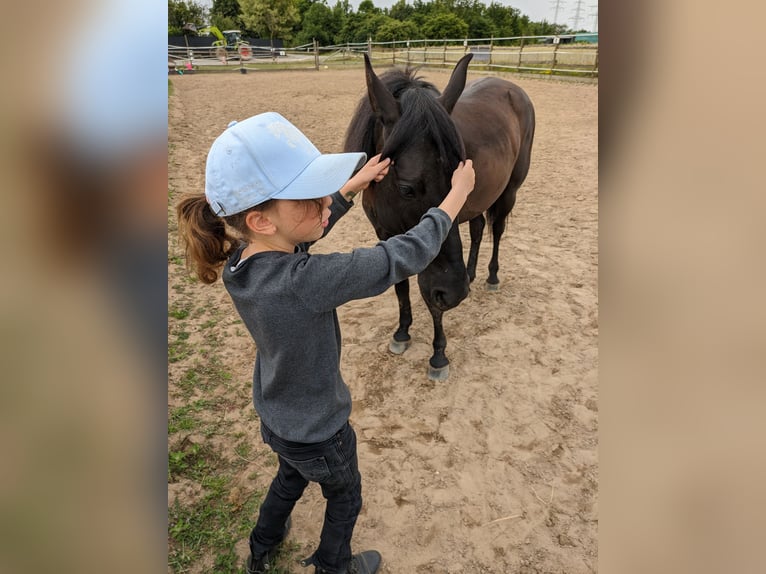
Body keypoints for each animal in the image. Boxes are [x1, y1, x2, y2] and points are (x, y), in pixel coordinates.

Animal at [344, 51, 536, 380]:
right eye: (407, 188)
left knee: (496, 230)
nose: (455, 291)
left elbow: (432, 300)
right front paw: (402, 332)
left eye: (461, 180)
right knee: (478, 228)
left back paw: (491, 276)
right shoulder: (386, 234)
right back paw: (471, 274)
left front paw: (438, 355)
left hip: (509, 191)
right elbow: (401, 285)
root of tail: (513, 88)